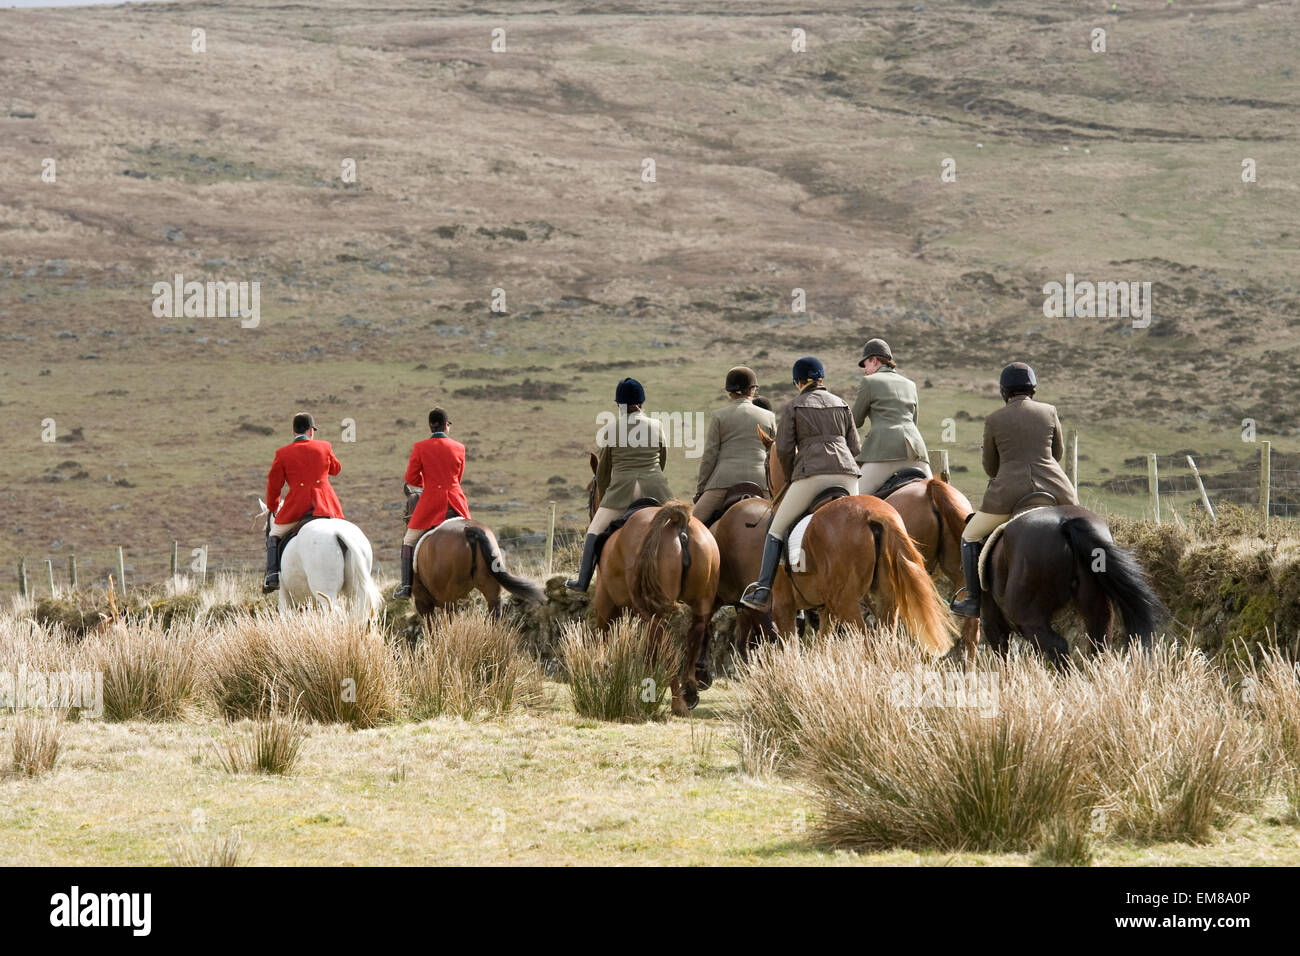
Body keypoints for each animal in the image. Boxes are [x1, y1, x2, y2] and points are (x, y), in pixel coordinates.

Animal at [587, 455, 722, 717]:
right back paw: (689, 692)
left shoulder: (606, 604)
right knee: (694, 638)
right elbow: (649, 652)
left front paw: (600, 672)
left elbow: (604, 637)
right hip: (699, 604)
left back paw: (678, 703)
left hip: (653, 612)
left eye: (590, 490)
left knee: (668, 651)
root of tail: (678, 524)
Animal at [977, 504, 1164, 671]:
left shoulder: (993, 624)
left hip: (1028, 618)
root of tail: (1066, 523)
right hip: (1097, 608)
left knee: (1057, 646)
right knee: (1100, 646)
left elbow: (1003, 659)